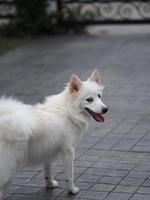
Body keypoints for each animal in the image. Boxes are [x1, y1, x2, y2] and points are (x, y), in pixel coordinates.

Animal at [0, 69, 108, 198]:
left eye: (99, 96)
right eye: (89, 99)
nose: (105, 109)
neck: (68, 112)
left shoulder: (47, 151)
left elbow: (48, 172)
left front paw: (50, 185)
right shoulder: (69, 151)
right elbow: (70, 176)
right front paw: (72, 190)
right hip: (8, 169)